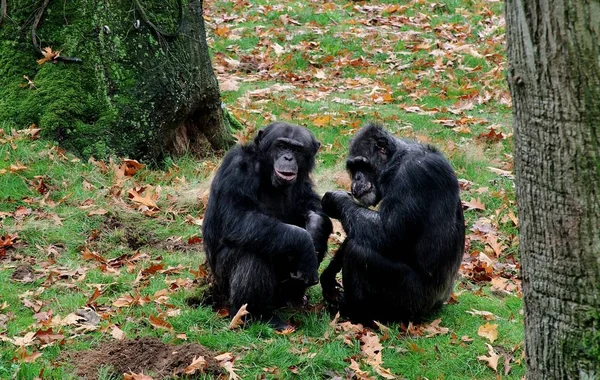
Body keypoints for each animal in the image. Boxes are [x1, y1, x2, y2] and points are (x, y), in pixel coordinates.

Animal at [202, 122, 332, 330]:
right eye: (281, 145)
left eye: (297, 149)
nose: (288, 158)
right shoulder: (237, 167)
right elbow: (237, 216)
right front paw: (305, 243)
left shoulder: (304, 181)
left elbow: (312, 205)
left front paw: (315, 228)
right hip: (222, 282)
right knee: (252, 252)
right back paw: (257, 315)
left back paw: (294, 298)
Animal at [318, 124, 464, 324]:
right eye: (353, 167)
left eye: (362, 165)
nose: (356, 178)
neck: (395, 163)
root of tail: (440, 304)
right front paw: (328, 276)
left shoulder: (413, 176)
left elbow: (389, 232)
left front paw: (335, 199)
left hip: (413, 301)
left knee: (359, 253)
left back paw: (356, 313)